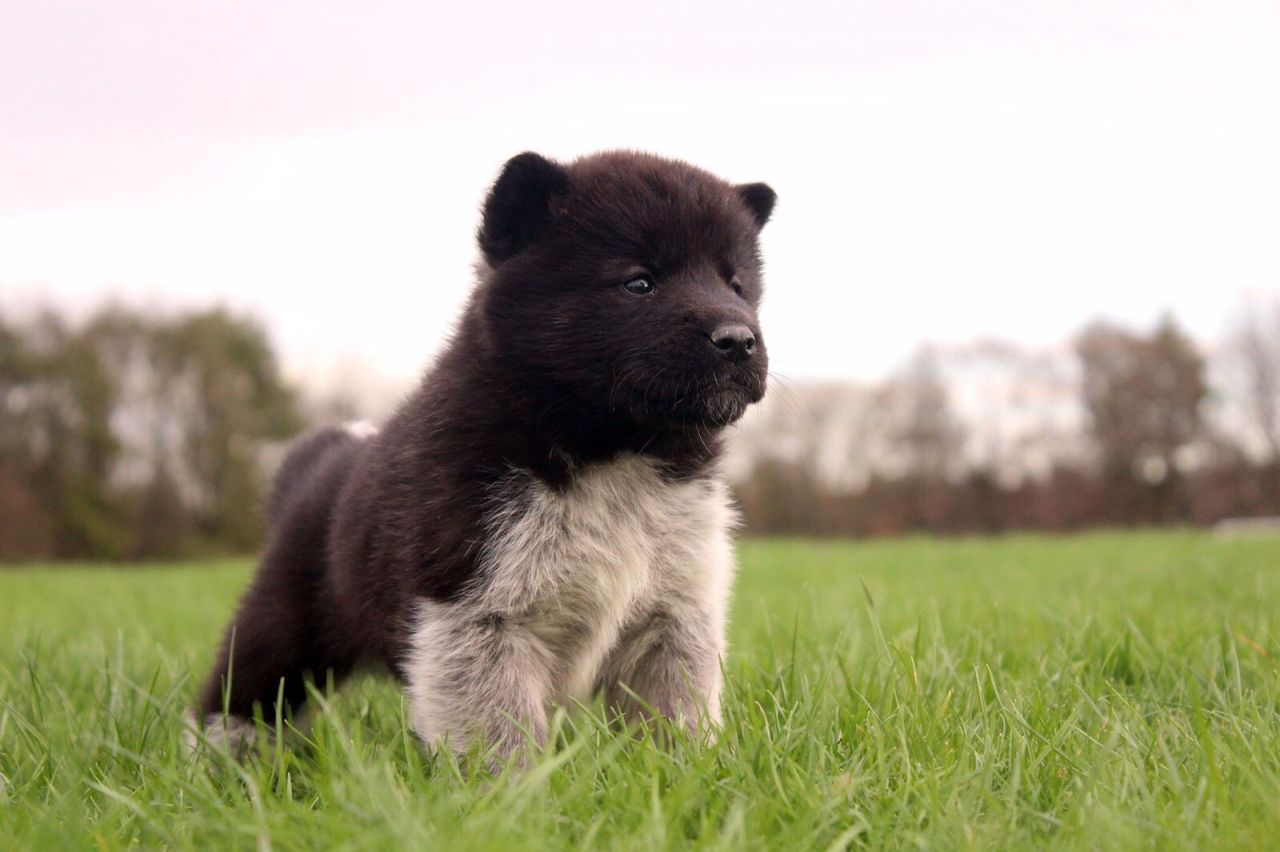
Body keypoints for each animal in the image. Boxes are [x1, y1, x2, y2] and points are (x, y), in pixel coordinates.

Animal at [193, 150, 773, 757]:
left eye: (737, 284)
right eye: (640, 282)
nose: (738, 339)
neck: (613, 454)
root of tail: (316, 468)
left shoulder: (674, 614)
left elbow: (673, 712)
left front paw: (681, 768)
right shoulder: (473, 611)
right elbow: (498, 730)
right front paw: (515, 783)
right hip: (282, 625)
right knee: (237, 694)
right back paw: (221, 760)